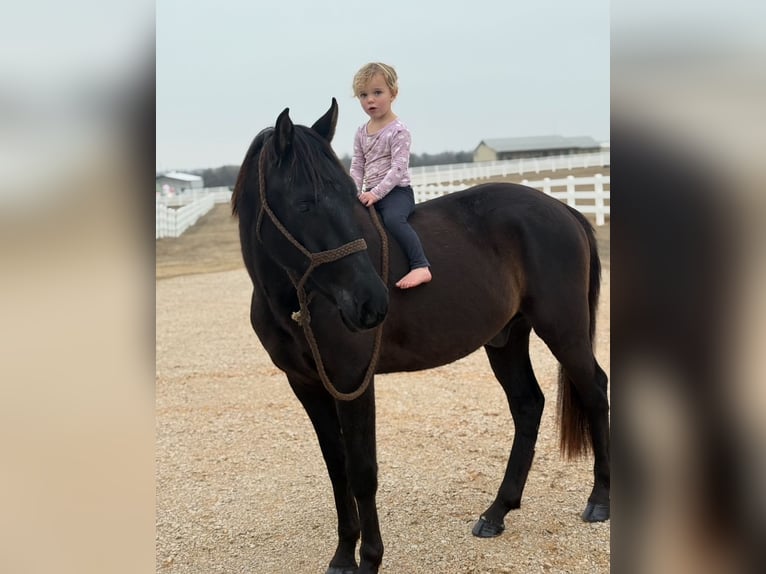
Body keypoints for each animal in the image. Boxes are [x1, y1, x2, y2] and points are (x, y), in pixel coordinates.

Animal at [232, 99, 609, 574]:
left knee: (595, 390)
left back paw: (599, 501)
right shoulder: (306, 385)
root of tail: (565, 211)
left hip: (564, 330)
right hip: (506, 338)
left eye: (348, 198)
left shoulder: (354, 383)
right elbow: (336, 467)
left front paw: (369, 559)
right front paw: (343, 555)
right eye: (304, 205)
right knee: (528, 405)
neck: (298, 301)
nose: (372, 302)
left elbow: (362, 471)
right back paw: (497, 512)